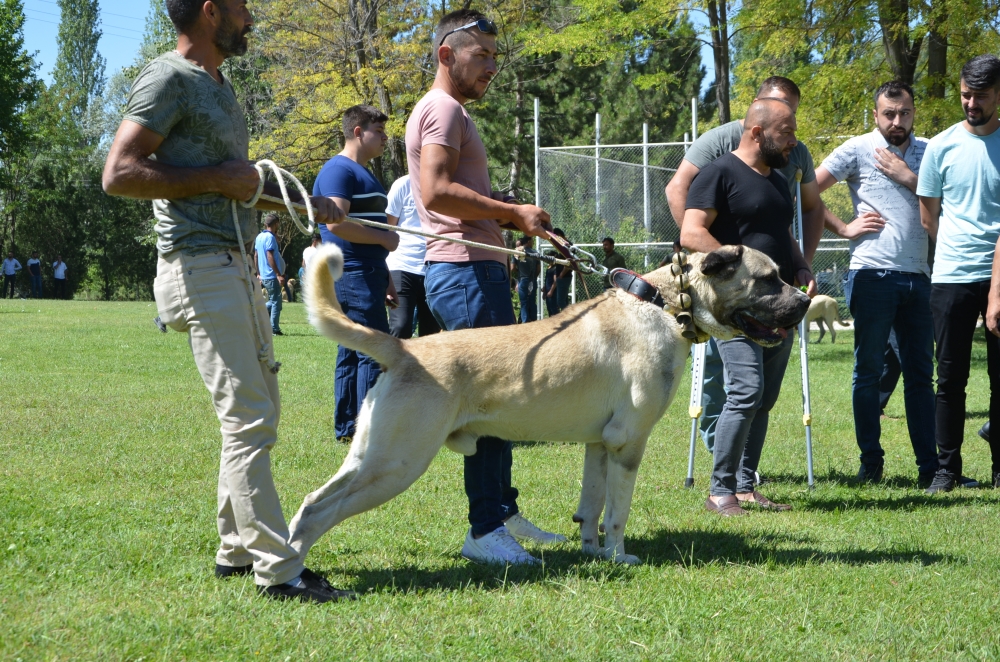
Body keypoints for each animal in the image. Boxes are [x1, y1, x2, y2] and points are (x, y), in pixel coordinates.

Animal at [292, 244, 812, 564]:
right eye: (769, 279)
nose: (806, 301)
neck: (663, 305)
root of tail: (404, 349)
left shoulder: (599, 445)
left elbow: (592, 505)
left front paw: (593, 552)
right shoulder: (628, 444)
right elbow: (618, 511)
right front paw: (620, 555)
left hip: (370, 454)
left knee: (312, 502)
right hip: (396, 462)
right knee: (320, 509)